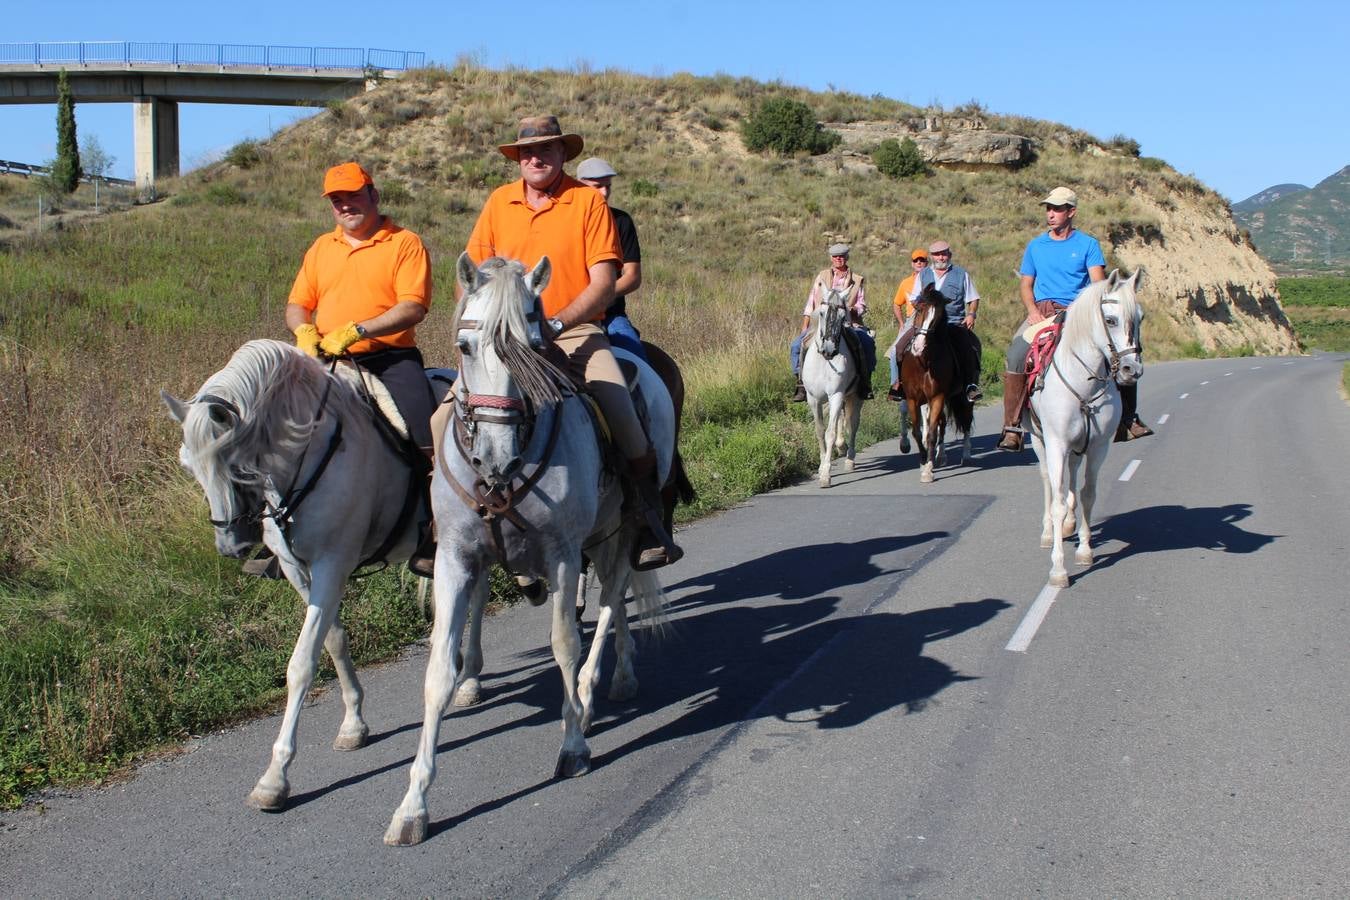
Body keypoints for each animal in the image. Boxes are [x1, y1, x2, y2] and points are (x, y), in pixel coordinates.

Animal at [158, 341, 434, 814]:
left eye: (234, 462)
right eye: (188, 466)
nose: (230, 545)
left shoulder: (331, 565)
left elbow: (301, 665)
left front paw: (276, 777)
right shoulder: (298, 571)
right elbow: (334, 641)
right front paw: (353, 724)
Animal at [386, 256, 669, 847]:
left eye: (535, 346)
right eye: (466, 346)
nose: (496, 457)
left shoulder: (562, 554)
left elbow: (564, 644)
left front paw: (573, 746)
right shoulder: (455, 560)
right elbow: (439, 672)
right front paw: (413, 805)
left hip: (623, 530)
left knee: (611, 600)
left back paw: (594, 694)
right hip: (600, 538)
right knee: (615, 599)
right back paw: (615, 684)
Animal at [799, 287, 864, 485]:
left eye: (843, 317)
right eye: (821, 313)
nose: (829, 349)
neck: (824, 362)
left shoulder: (836, 395)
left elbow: (830, 433)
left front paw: (826, 474)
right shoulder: (813, 399)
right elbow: (820, 431)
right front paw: (821, 467)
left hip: (855, 396)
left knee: (853, 423)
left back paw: (849, 459)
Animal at [901, 288, 977, 485]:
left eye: (937, 318)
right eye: (919, 309)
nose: (918, 346)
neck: (923, 362)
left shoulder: (937, 397)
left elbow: (931, 434)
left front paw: (928, 470)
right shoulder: (913, 399)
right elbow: (918, 432)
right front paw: (923, 462)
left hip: (963, 396)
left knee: (966, 421)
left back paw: (966, 455)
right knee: (942, 423)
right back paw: (941, 455)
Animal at [1026, 271, 1144, 588]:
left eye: (1140, 318)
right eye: (1111, 320)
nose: (1132, 370)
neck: (1084, 384)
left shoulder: (1098, 446)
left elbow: (1088, 494)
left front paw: (1084, 551)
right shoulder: (1056, 443)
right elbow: (1055, 499)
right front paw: (1058, 570)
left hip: (1078, 447)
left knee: (1072, 477)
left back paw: (1068, 523)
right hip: (1038, 439)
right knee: (1047, 481)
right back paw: (1047, 532)